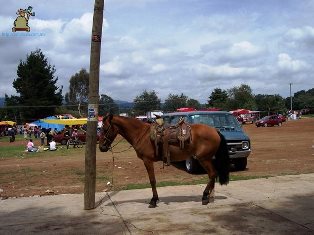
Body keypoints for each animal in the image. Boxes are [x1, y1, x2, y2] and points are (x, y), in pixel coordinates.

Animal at [99, 114, 229, 207]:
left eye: (104, 129)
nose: (101, 147)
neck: (142, 134)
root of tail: (215, 131)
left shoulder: (147, 161)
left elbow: (152, 180)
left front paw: (153, 200)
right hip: (207, 159)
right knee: (213, 175)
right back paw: (209, 197)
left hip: (204, 159)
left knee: (212, 174)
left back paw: (205, 197)